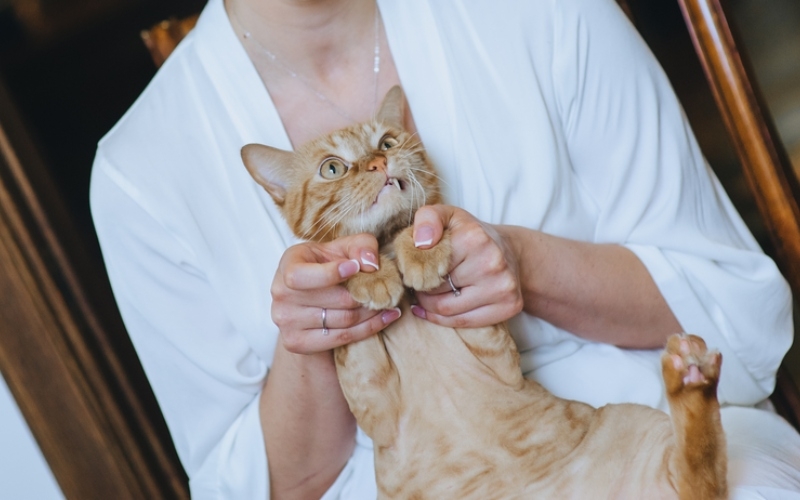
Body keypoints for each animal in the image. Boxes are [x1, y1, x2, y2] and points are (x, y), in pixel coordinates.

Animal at [241, 87, 728, 500]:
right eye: (332, 168)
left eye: (387, 142)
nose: (379, 164)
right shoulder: (374, 402)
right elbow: (355, 293)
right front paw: (370, 275)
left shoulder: (495, 350)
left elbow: (418, 226)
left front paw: (420, 253)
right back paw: (690, 372)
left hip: (637, 425)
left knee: (701, 475)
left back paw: (691, 372)